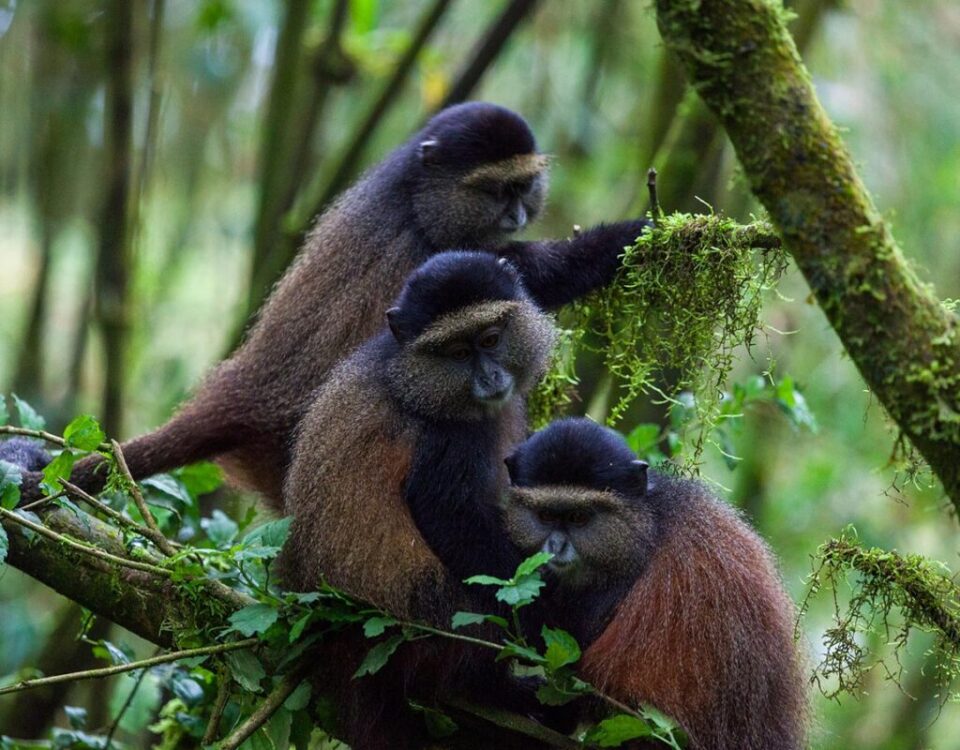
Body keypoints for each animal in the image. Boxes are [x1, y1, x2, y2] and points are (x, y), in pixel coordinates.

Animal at [15, 102, 650, 507]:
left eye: (523, 187)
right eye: (498, 190)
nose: (518, 213)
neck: (413, 197)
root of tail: (245, 393)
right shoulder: (439, 255)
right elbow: (533, 274)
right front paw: (637, 235)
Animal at [279, 250, 559, 750]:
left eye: (491, 339)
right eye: (458, 353)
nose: (490, 377)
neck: (412, 375)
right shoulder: (446, 442)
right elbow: (453, 520)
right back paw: (499, 691)